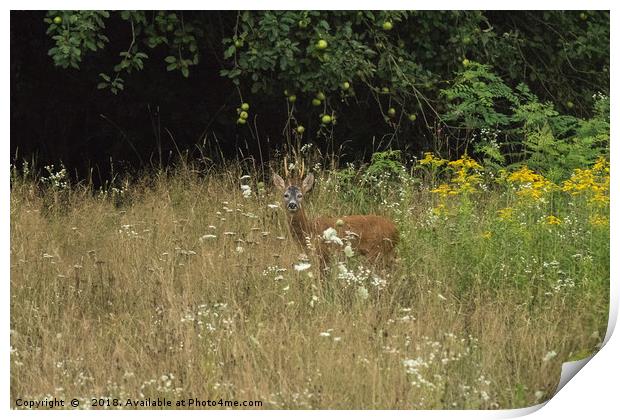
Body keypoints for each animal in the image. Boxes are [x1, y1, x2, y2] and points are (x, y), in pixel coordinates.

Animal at [272, 167, 400, 266]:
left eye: (300, 195)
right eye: (285, 195)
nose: (292, 205)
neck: (309, 230)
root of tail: (396, 230)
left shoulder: (324, 254)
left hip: (377, 252)